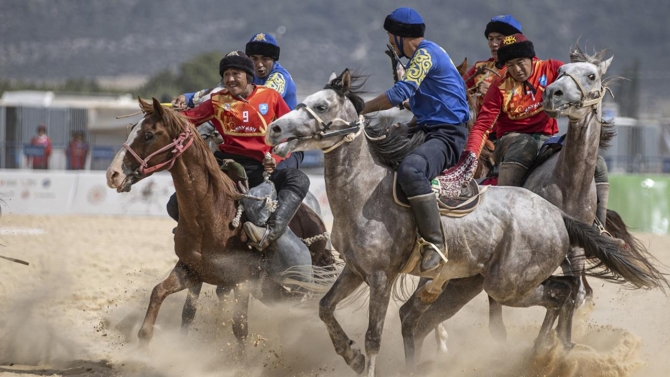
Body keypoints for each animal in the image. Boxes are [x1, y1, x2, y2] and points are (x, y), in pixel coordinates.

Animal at [266, 70, 668, 374]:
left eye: (321, 105)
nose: (274, 129)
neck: (364, 193)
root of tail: (558, 215)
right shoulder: (354, 270)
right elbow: (325, 308)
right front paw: (349, 354)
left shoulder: (380, 278)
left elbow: (373, 337)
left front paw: (361, 357)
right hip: (468, 283)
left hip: (507, 285)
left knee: (564, 293)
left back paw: (549, 353)